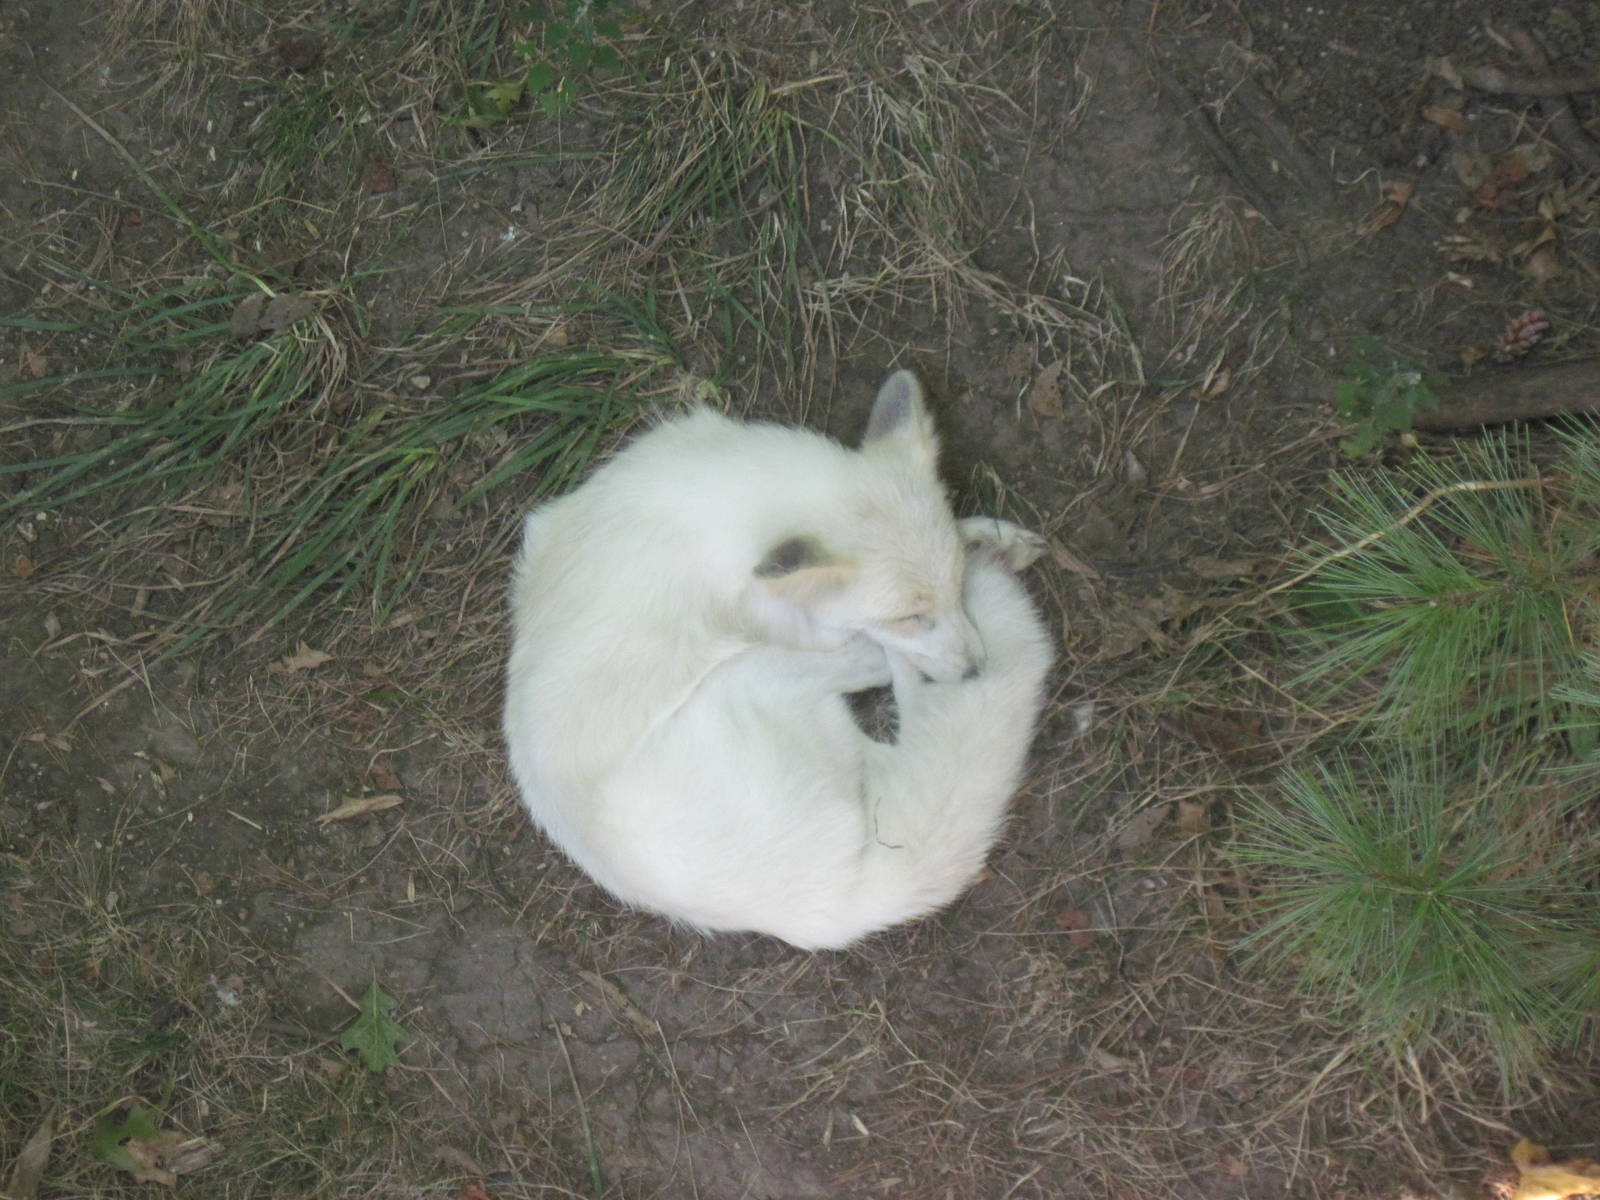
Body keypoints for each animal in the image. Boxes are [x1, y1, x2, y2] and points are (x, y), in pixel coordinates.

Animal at [502, 369, 1054, 950]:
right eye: (910, 617)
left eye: (955, 590)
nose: (975, 671)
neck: (715, 499)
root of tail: (833, 909)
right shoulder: (787, 619)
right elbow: (855, 638)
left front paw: (986, 538)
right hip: (744, 675)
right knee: (882, 701)